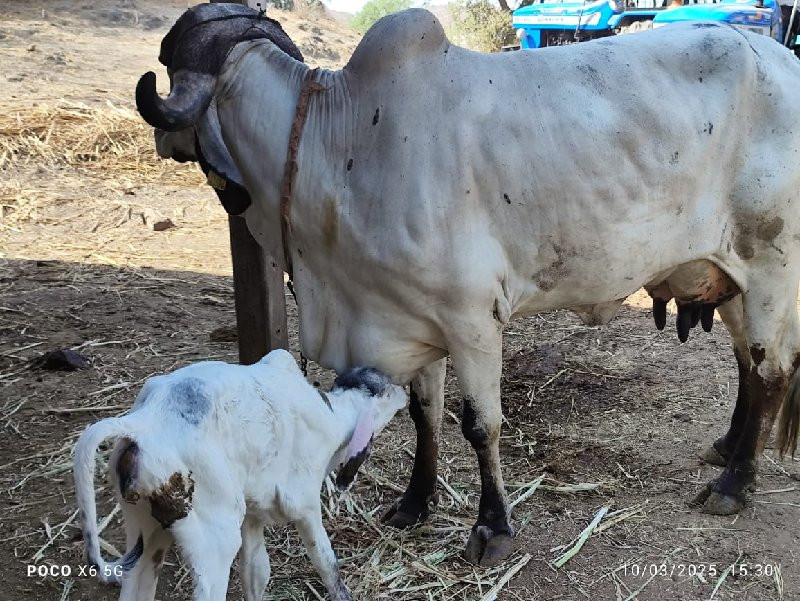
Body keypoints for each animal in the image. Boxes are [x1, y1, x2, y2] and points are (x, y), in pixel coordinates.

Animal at [72, 350, 410, 600]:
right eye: (384, 388)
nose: (405, 391)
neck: (333, 415)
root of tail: (144, 424)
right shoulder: (303, 502)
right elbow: (327, 563)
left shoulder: (253, 514)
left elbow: (256, 572)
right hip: (214, 537)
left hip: (145, 527)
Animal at [138, 4, 800, 564]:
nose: (162, 141)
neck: (338, 145)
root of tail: (785, 61)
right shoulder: (410, 319)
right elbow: (423, 415)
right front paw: (414, 501)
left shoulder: (472, 320)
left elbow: (481, 425)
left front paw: (492, 526)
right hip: (729, 278)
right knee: (746, 368)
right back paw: (727, 447)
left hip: (771, 268)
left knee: (770, 372)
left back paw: (734, 484)